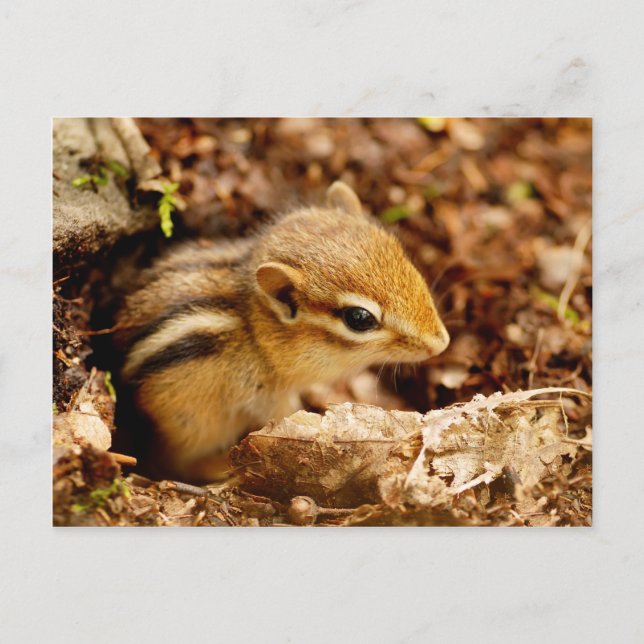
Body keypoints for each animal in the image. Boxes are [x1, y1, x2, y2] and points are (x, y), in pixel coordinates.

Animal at [114, 182, 449, 480]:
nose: (441, 343)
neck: (257, 330)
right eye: (359, 318)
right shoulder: (270, 399)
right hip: (194, 425)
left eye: (400, 252)